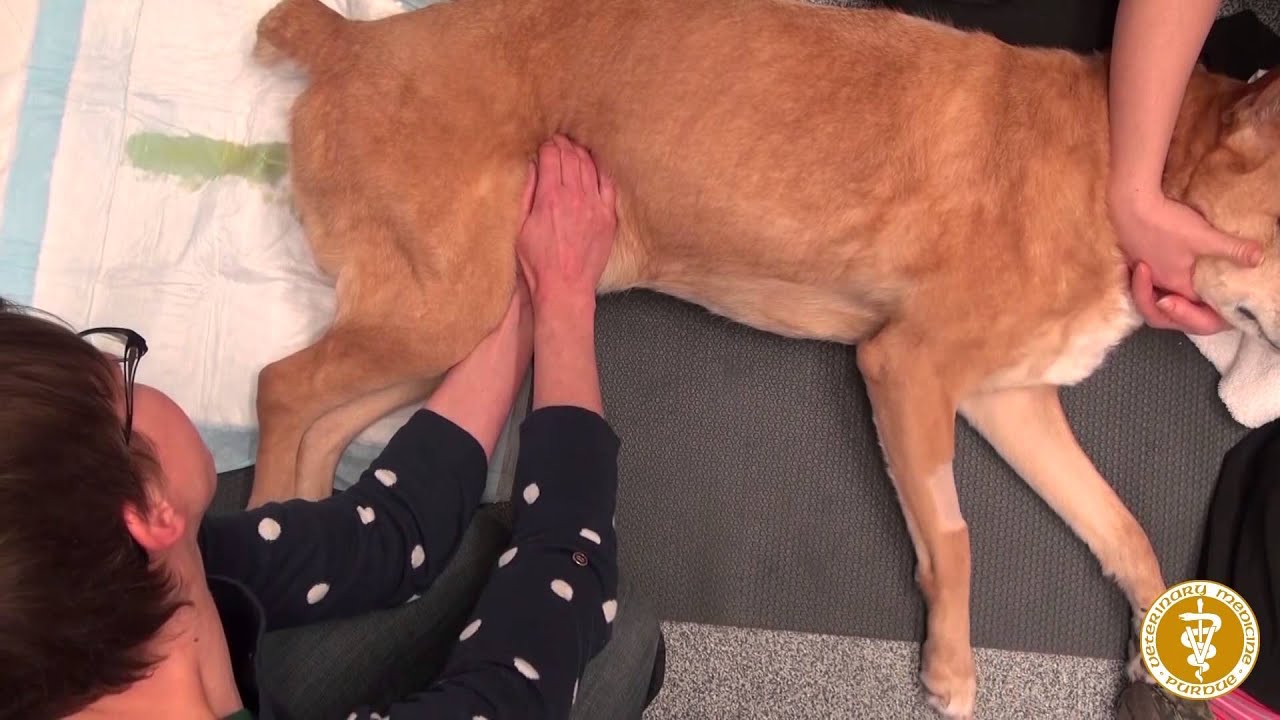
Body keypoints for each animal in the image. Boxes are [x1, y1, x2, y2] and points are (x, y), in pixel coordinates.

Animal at [250, 0, 1280, 715]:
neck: (1125, 165)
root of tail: (353, 42)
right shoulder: (908, 369)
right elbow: (952, 537)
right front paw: (949, 667)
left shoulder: (1011, 401)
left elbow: (1124, 530)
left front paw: (1160, 644)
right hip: (448, 310)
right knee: (281, 388)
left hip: (462, 317)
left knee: (328, 425)